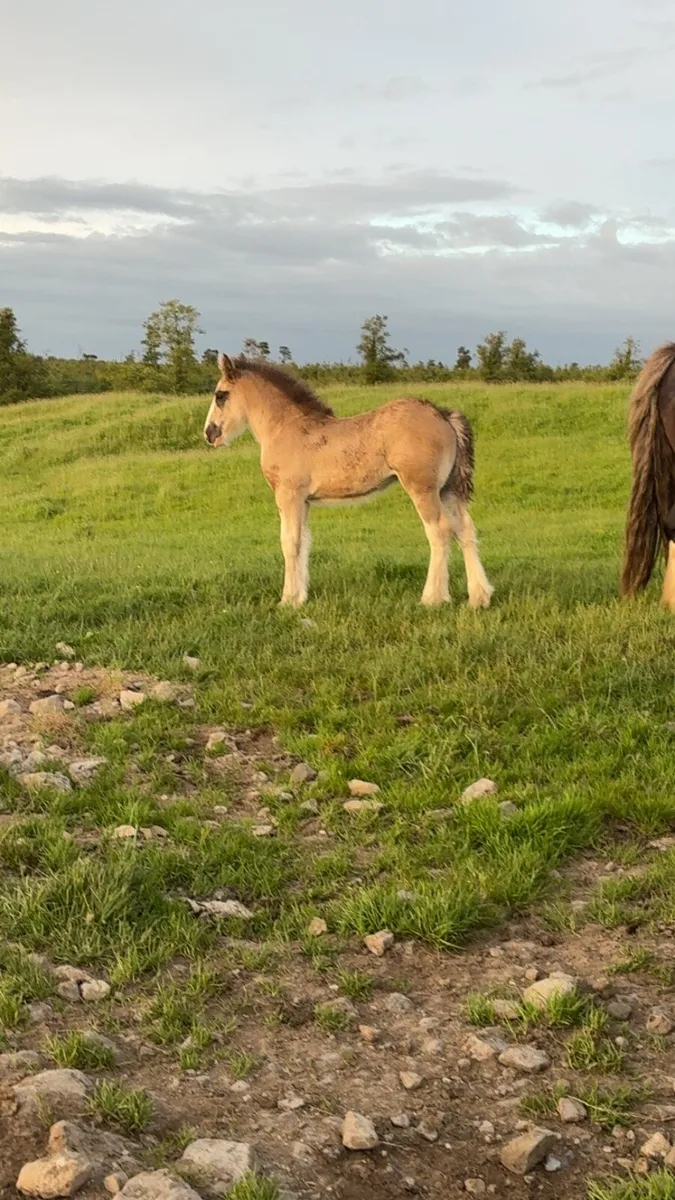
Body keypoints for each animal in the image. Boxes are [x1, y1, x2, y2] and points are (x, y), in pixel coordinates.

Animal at [203, 354, 493, 609]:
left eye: (220, 395)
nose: (209, 433)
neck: (286, 428)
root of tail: (442, 414)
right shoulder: (305, 501)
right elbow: (304, 541)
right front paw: (300, 596)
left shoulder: (289, 495)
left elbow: (290, 542)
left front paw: (288, 600)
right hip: (448, 489)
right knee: (465, 530)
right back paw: (479, 598)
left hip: (423, 488)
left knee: (439, 531)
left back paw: (433, 598)